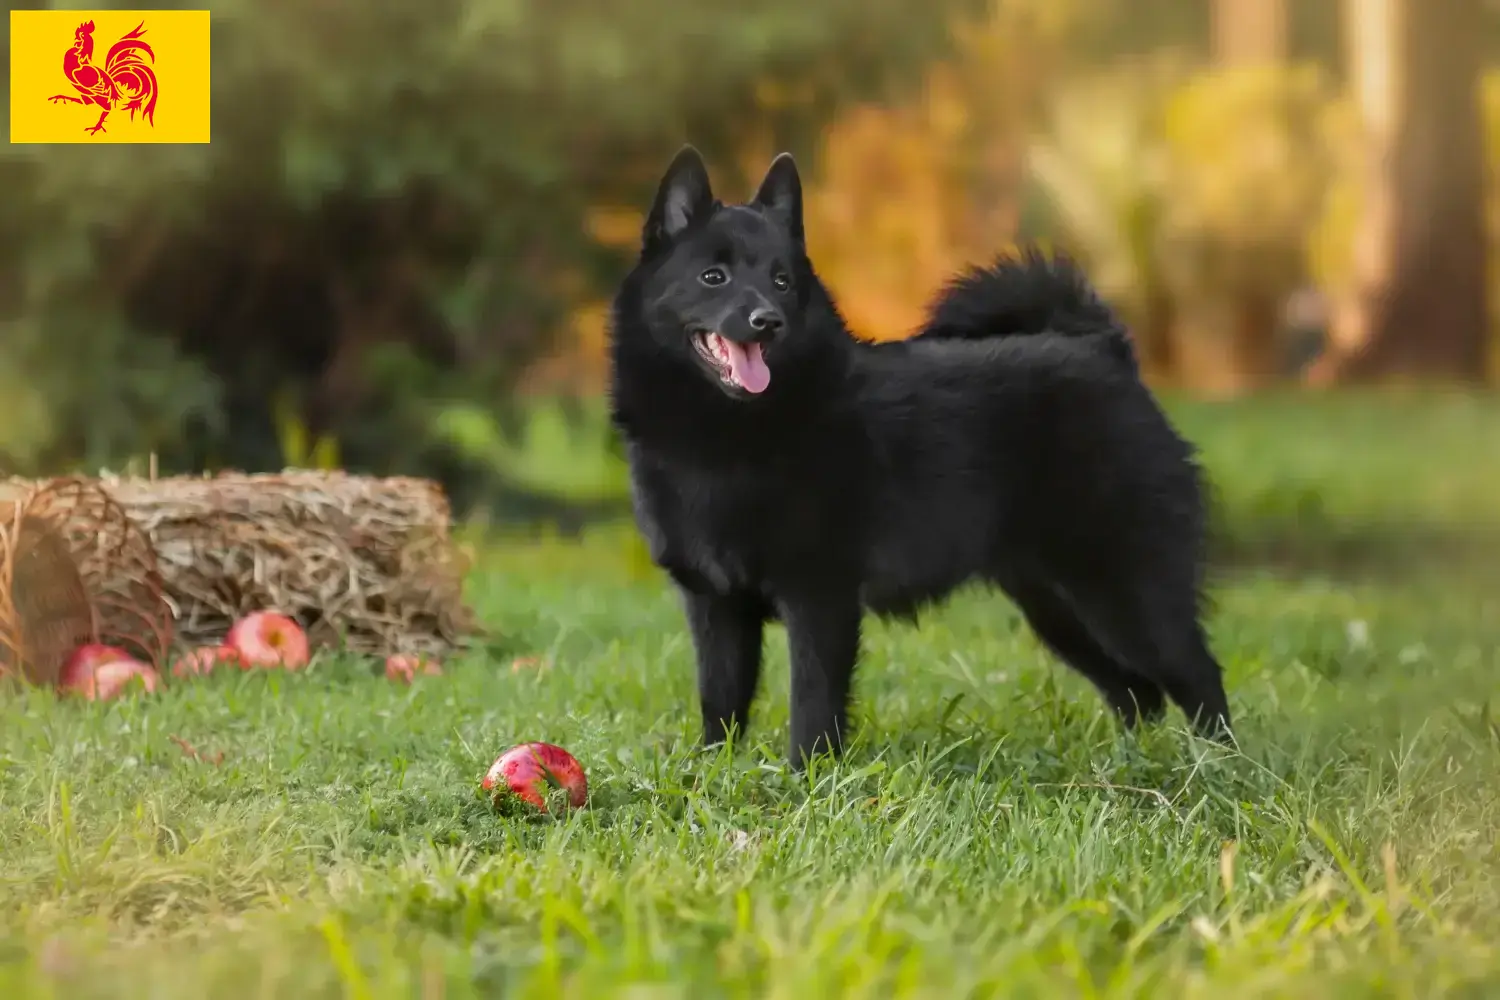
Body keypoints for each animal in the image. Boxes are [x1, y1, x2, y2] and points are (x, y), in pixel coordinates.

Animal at [609, 142, 1230, 767]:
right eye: (713, 277)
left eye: (781, 281)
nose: (768, 321)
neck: (728, 437)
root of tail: (1106, 351)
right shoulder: (715, 605)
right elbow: (721, 701)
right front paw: (714, 771)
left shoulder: (819, 596)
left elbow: (813, 702)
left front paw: (806, 776)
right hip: (1058, 608)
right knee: (1136, 691)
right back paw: (1130, 763)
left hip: (1126, 591)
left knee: (1198, 675)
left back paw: (1219, 766)